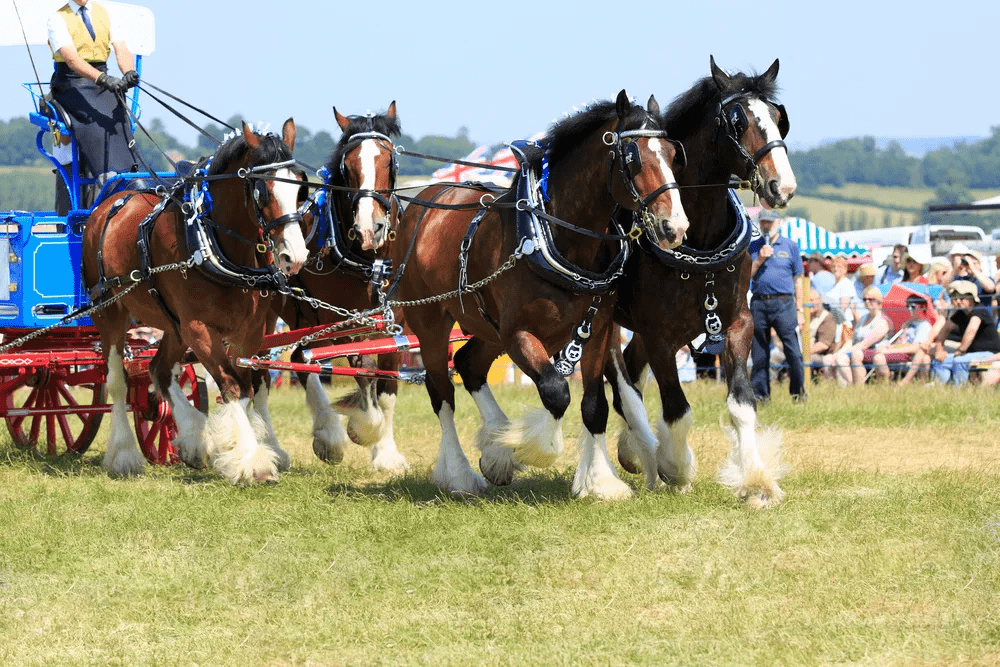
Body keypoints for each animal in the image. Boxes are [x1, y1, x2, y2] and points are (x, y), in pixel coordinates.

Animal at [82, 121, 308, 486]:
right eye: (261, 191)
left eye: (300, 188)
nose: (295, 256)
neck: (214, 243)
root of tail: (108, 204)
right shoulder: (198, 328)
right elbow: (231, 385)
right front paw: (251, 460)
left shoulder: (250, 330)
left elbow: (247, 386)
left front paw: (240, 448)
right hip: (111, 312)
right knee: (117, 380)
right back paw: (124, 455)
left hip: (172, 324)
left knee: (159, 370)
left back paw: (191, 439)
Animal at [268, 102, 408, 472]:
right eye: (348, 165)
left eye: (389, 161)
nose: (369, 227)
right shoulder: (342, 322)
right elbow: (362, 373)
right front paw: (363, 428)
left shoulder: (396, 320)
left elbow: (386, 385)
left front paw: (387, 454)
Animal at [394, 91, 692, 494]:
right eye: (633, 158)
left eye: (674, 154)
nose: (674, 226)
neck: (560, 238)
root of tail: (423, 199)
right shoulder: (518, 333)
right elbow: (555, 390)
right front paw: (532, 448)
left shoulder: (597, 330)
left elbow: (594, 405)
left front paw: (599, 482)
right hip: (431, 324)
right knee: (442, 391)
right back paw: (459, 473)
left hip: (488, 328)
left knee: (469, 364)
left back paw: (496, 449)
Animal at [600, 56, 796, 506]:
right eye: (738, 121)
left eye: (778, 118)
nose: (783, 186)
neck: (700, 239)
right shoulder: (660, 334)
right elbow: (677, 409)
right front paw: (677, 468)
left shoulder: (738, 322)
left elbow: (742, 404)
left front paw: (755, 480)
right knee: (620, 381)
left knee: (631, 372)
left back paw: (633, 451)